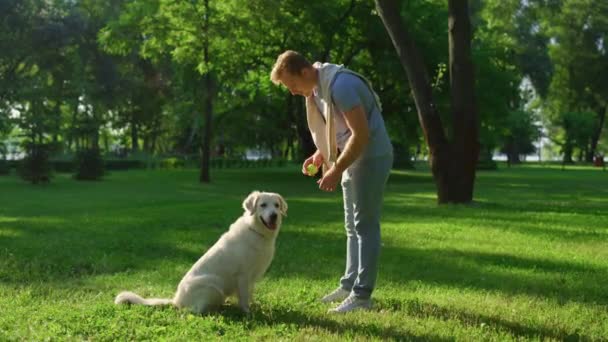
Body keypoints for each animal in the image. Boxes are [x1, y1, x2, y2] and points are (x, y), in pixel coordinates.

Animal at [116, 191, 288, 314]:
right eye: (263, 205)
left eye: (276, 205)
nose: (274, 215)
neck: (256, 232)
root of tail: (176, 300)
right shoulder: (243, 275)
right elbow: (244, 298)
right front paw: (248, 313)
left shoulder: (251, 278)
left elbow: (249, 295)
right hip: (214, 285)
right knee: (194, 311)